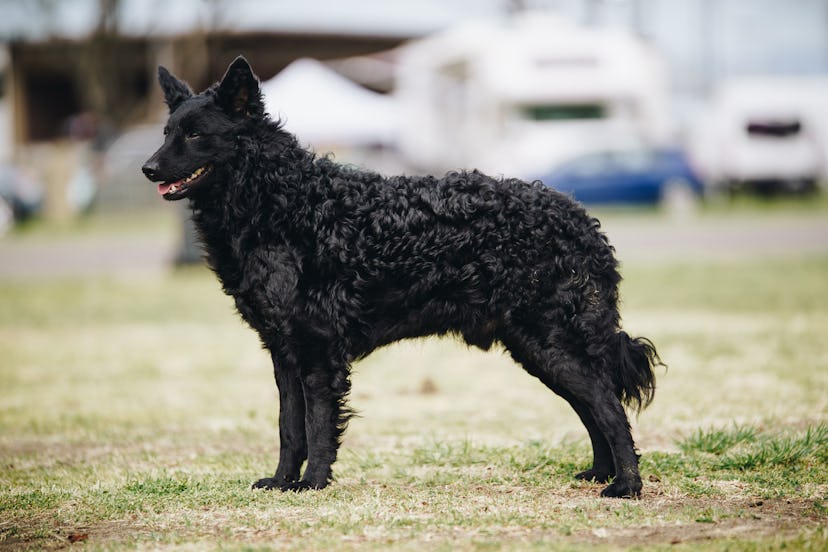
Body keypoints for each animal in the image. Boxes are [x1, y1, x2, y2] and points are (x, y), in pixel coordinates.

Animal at [142, 57, 660, 500]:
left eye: (194, 134)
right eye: (166, 132)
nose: (148, 169)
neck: (283, 202)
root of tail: (581, 222)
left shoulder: (317, 349)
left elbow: (317, 427)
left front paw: (312, 484)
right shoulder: (283, 350)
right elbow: (289, 428)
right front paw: (281, 482)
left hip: (552, 341)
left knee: (608, 406)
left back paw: (625, 485)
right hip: (538, 347)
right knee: (593, 408)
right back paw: (601, 473)